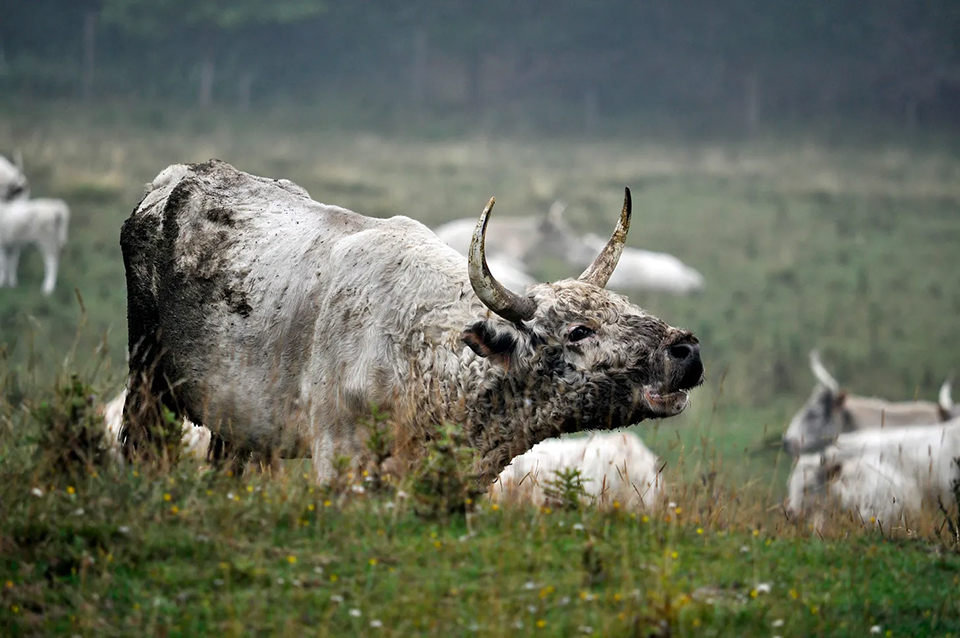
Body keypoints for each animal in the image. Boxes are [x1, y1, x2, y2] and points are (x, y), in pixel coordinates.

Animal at [120, 160, 703, 483]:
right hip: (146, 382)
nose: (687, 351)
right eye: (579, 330)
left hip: (235, 425)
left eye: (626, 304)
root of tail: (173, 181)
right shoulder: (339, 461)